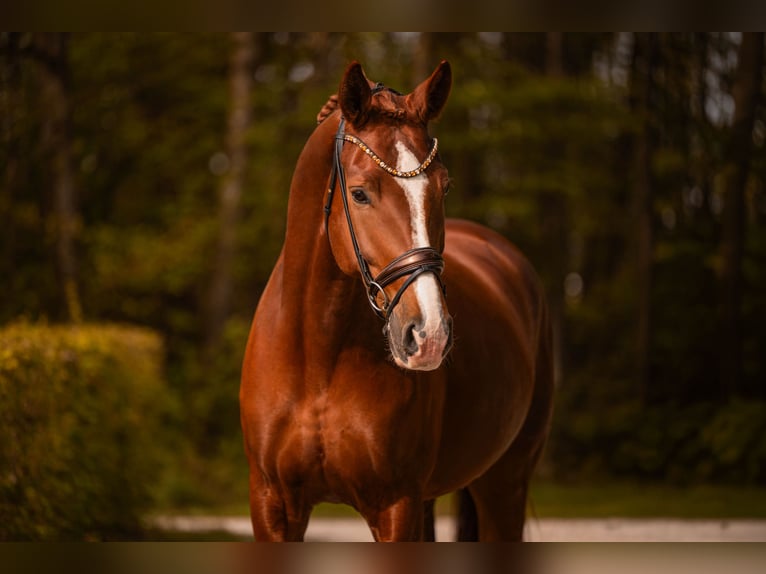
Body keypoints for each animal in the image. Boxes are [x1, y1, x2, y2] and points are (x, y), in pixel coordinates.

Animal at [240, 60, 554, 541]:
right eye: (360, 193)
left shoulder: (395, 506)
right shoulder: (272, 504)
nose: (429, 335)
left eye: (444, 187)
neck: (318, 359)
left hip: (504, 483)